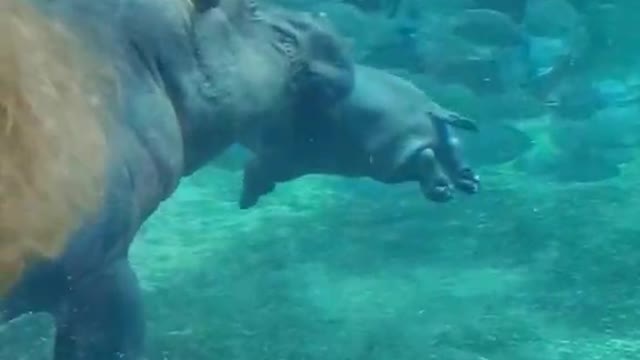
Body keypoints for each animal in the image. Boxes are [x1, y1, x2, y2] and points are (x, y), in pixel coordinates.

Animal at [240, 63, 480, 207]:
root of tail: (427, 105)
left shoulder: (279, 158)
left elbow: (253, 169)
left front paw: (247, 199)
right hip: (419, 146)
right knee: (451, 149)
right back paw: (468, 182)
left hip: (388, 158)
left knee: (425, 157)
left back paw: (443, 190)